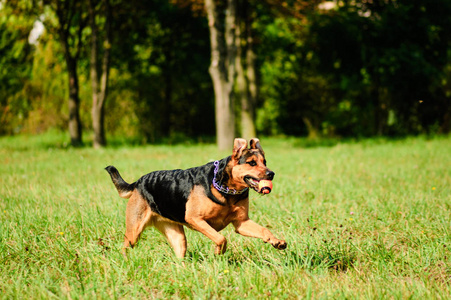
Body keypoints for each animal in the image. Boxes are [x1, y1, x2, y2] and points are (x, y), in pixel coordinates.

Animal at [105, 138, 286, 258]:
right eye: (252, 163)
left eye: (264, 161)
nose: (271, 174)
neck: (226, 190)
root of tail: (137, 183)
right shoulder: (195, 219)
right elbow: (221, 238)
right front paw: (218, 252)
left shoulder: (241, 223)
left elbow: (264, 230)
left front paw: (277, 241)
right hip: (134, 230)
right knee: (125, 247)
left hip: (177, 236)